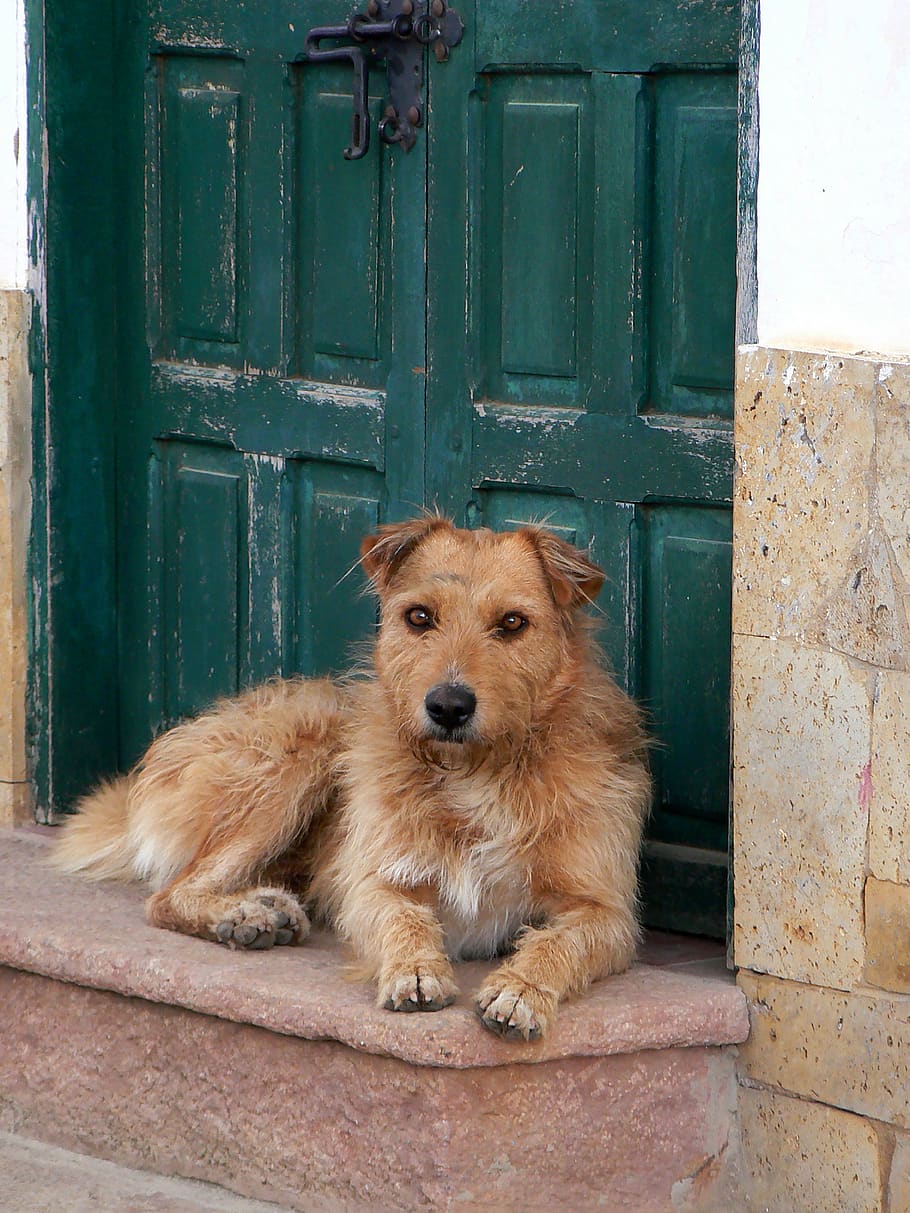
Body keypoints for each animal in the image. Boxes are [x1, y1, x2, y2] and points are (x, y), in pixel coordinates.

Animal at [51, 516, 650, 1038]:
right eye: (419, 617)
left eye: (512, 623)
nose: (448, 707)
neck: (476, 773)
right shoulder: (372, 882)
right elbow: (402, 919)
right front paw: (414, 970)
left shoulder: (607, 912)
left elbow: (559, 942)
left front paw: (521, 988)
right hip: (301, 751)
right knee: (169, 895)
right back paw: (245, 911)